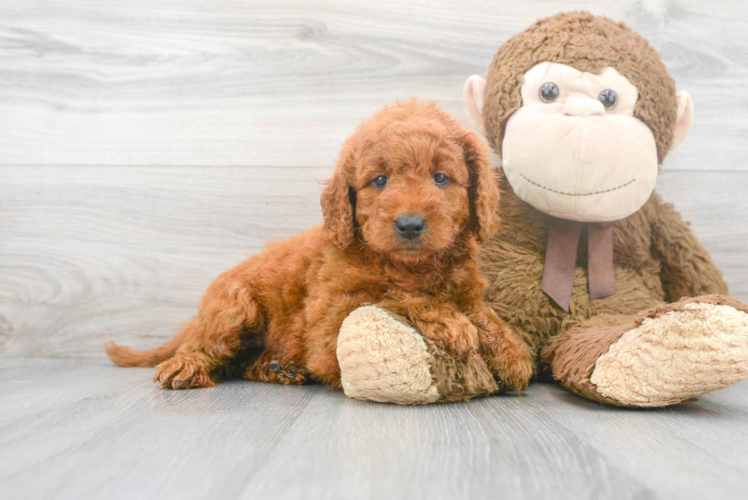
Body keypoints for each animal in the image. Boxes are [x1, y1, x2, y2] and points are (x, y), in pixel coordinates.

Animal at [108, 99, 536, 392]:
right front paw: (450, 320)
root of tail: (196, 317)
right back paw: (187, 367)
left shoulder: (464, 286)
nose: (410, 224)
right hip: (233, 307)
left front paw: (510, 349)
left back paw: (276, 367)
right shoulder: (329, 324)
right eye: (380, 181)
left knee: (238, 363)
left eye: (441, 178)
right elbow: (391, 294)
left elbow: (480, 309)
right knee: (207, 347)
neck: (411, 265)